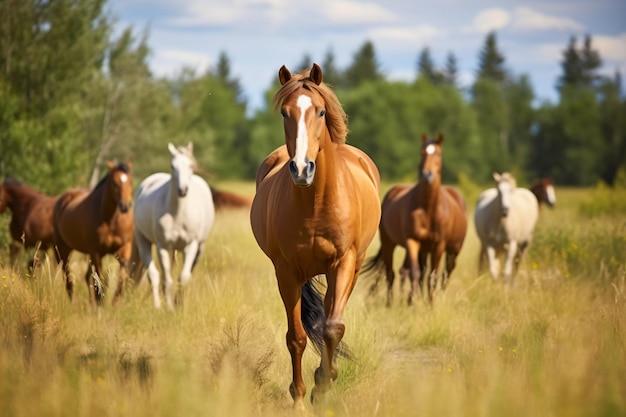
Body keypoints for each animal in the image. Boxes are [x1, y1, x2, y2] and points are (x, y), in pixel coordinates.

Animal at [53, 162, 133, 306]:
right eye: (114, 182)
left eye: (130, 180)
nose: (125, 206)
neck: (110, 219)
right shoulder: (96, 252)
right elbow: (99, 279)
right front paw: (101, 303)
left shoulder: (123, 248)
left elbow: (122, 275)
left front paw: (114, 302)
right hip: (63, 250)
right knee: (67, 275)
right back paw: (75, 302)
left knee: (86, 276)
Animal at [131, 141, 214, 308]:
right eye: (172, 166)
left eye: (190, 165)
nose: (182, 190)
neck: (178, 214)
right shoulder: (163, 246)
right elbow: (167, 280)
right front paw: (169, 308)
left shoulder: (191, 245)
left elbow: (184, 277)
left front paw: (179, 305)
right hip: (143, 240)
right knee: (154, 275)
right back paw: (158, 305)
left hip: (198, 248)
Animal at [249, 64, 380, 410]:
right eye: (285, 112)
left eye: (320, 111)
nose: (301, 169)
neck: (316, 203)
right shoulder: (286, 272)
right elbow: (296, 337)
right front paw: (299, 399)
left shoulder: (343, 263)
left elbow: (333, 328)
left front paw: (322, 386)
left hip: (352, 268)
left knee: (333, 318)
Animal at [358, 135, 466, 304]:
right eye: (422, 152)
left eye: (439, 154)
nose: (428, 175)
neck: (428, 208)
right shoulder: (412, 241)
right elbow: (415, 273)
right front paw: (413, 302)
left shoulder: (438, 245)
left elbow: (432, 277)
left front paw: (429, 303)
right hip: (390, 244)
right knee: (392, 273)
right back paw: (390, 302)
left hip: (453, 250)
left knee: (444, 275)